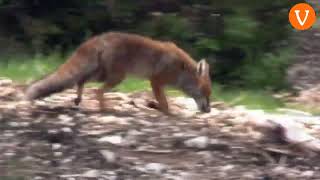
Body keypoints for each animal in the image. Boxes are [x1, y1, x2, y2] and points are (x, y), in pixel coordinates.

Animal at [25, 32, 212, 113]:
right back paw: (105, 109)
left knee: (81, 81)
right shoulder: (156, 81)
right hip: (117, 77)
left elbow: (163, 104)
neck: (180, 69)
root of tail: (100, 37)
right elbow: (165, 105)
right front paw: (159, 108)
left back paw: (79, 99)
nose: (208, 111)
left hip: (102, 74)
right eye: (205, 93)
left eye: (210, 95)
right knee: (97, 91)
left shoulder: (157, 83)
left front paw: (154, 105)